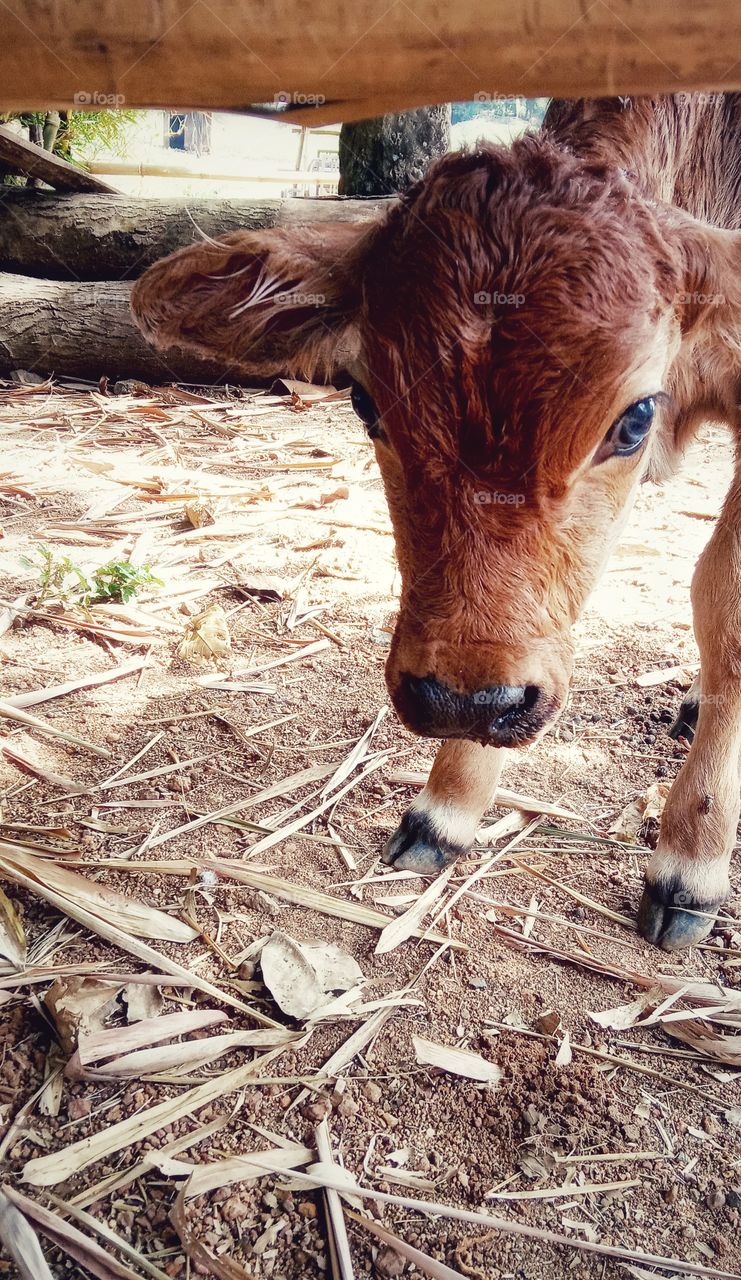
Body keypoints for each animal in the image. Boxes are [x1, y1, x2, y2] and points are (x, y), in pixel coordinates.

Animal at [131, 94, 740, 952]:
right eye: (365, 402)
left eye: (633, 420)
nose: (465, 702)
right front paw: (446, 806)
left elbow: (723, 605)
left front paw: (691, 862)